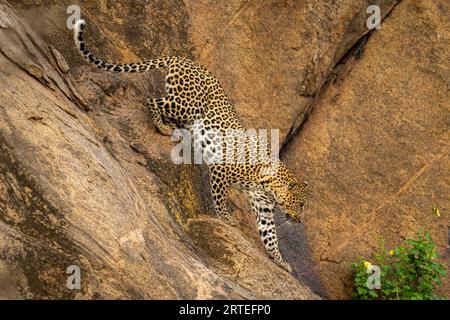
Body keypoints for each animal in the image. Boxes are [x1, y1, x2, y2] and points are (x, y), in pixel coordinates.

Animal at [74, 18, 308, 272]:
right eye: (301, 203)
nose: (299, 220)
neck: (269, 187)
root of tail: (183, 59)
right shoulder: (221, 169)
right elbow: (219, 197)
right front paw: (226, 218)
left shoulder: (263, 207)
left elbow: (270, 236)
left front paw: (280, 261)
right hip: (186, 104)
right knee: (153, 100)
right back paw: (164, 127)